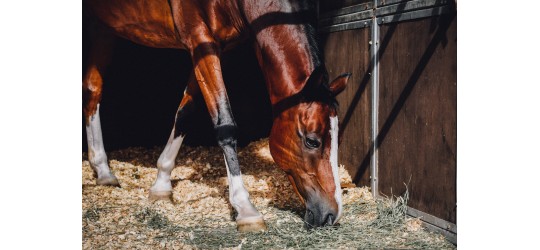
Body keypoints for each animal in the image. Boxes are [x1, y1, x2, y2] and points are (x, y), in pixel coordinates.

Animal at [84, 0, 350, 232]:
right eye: (312, 141)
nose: (332, 214)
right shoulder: (201, 40)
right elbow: (225, 124)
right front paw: (245, 209)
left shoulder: (210, 48)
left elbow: (185, 113)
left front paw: (162, 184)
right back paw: (102, 168)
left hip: (102, 27)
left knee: (92, 90)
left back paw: (103, 171)